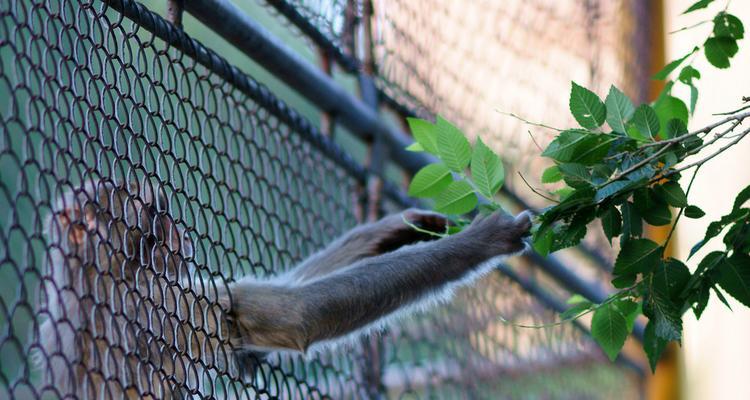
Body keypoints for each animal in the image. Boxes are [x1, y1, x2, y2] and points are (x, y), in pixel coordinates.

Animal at [35, 180, 536, 398]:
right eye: (157, 221)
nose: (181, 233)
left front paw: (390, 229)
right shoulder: (162, 301)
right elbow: (298, 317)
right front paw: (478, 243)